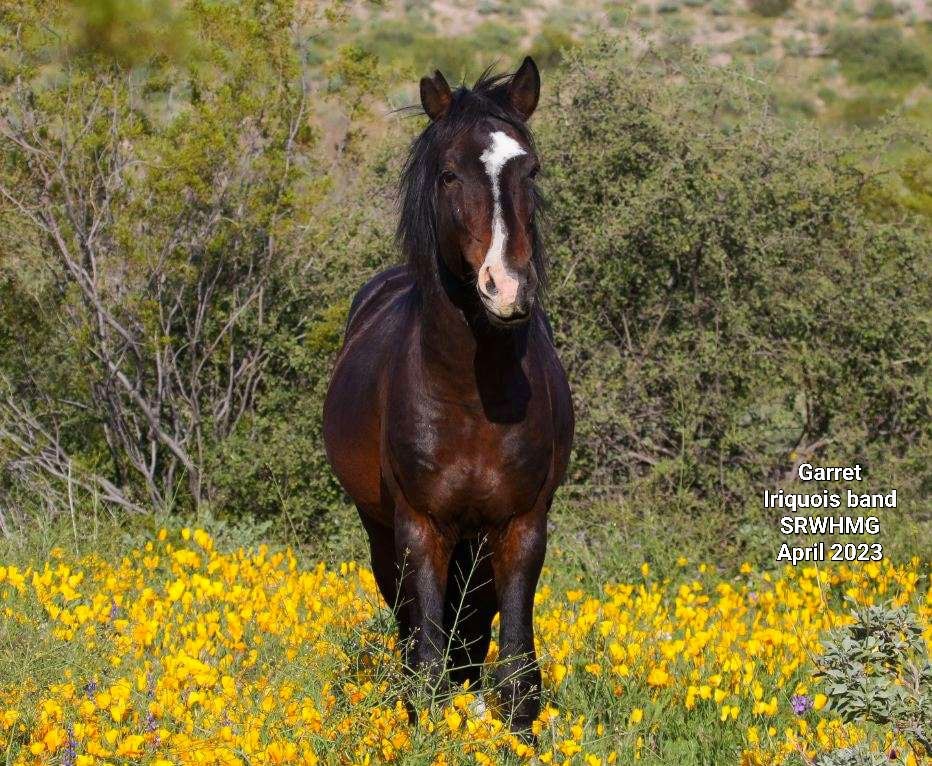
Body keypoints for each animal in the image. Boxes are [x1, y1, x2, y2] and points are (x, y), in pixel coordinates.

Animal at [322, 56, 574, 731]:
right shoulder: (420, 529)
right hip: (385, 536)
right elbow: (427, 666)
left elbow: (516, 678)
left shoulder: (520, 527)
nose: (508, 289)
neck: (471, 398)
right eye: (449, 174)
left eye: (530, 169)